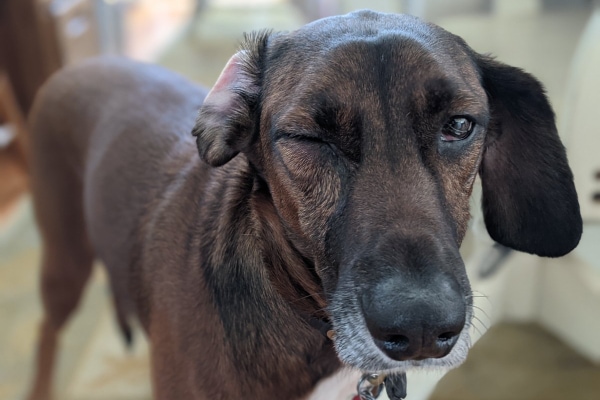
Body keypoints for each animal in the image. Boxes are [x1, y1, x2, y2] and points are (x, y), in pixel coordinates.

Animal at [25, 10, 584, 400]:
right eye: (307, 138)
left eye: (460, 125)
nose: (423, 330)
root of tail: (79, 65)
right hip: (64, 260)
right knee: (46, 331)